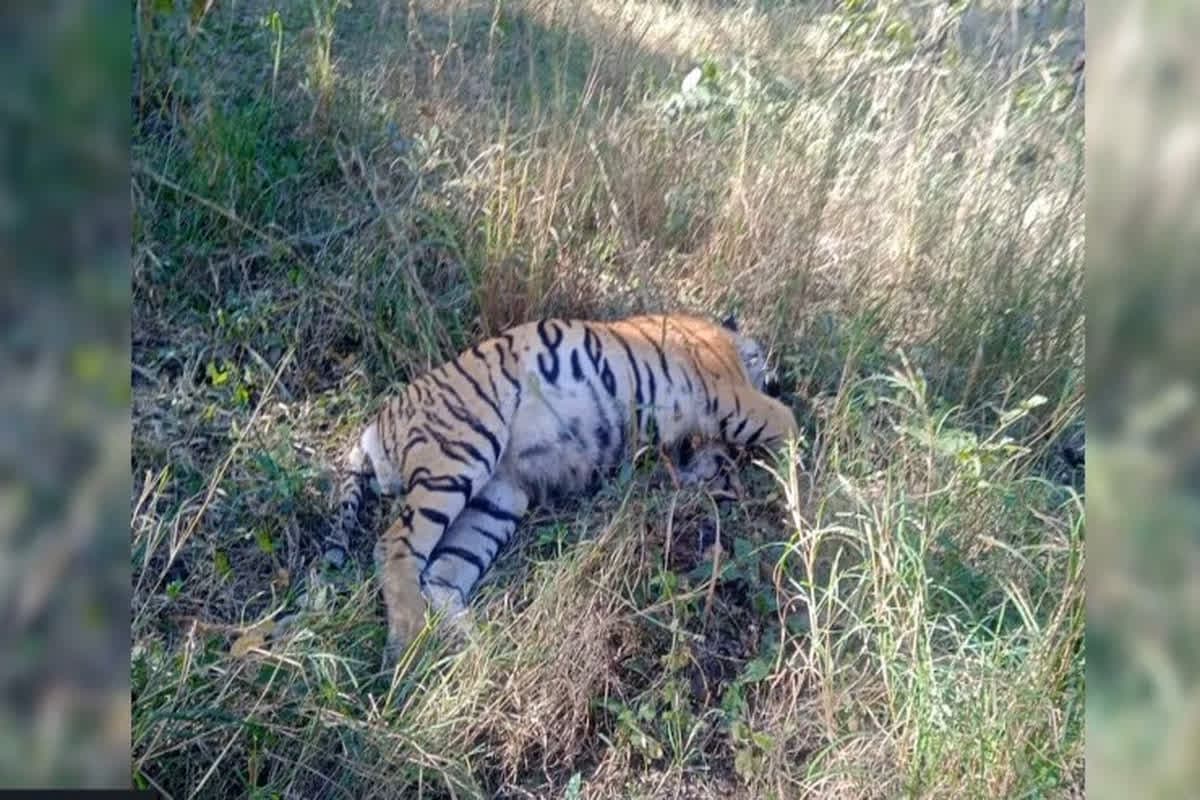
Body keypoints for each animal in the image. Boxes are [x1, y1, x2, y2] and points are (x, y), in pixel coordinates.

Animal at [324, 313, 801, 661]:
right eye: (763, 358)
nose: (780, 379)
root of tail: (374, 427)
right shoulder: (732, 396)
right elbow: (786, 423)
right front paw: (801, 488)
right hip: (460, 451)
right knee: (395, 546)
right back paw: (409, 643)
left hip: (497, 500)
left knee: (442, 575)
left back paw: (482, 648)